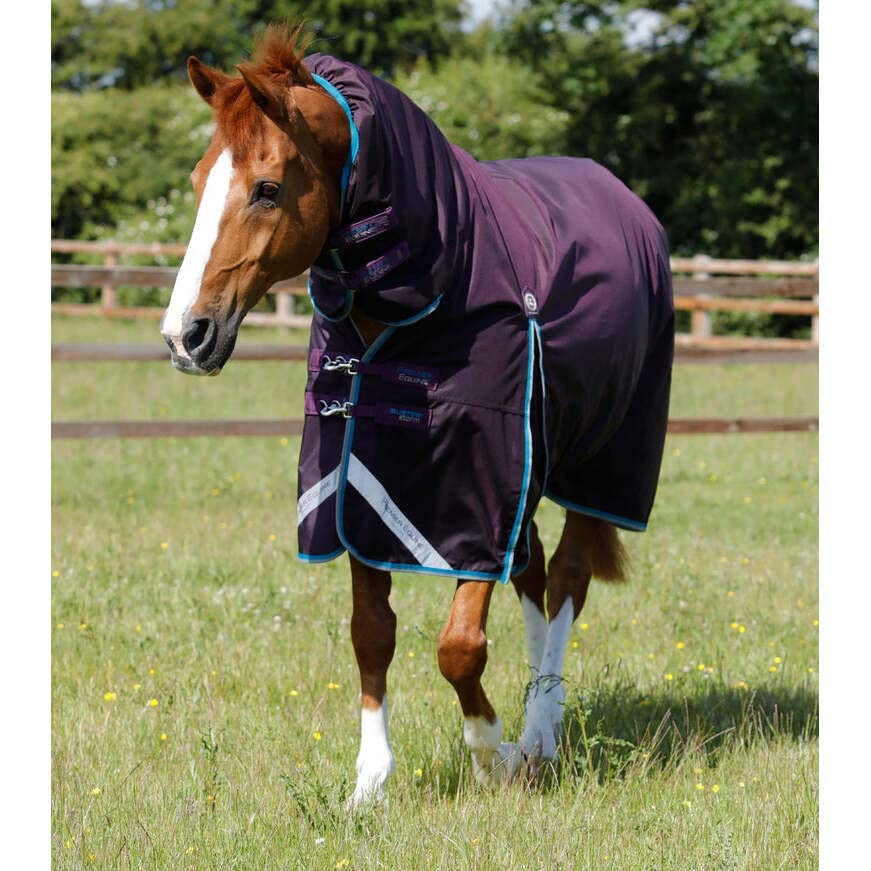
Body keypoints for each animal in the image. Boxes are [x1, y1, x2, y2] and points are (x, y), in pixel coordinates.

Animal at [160, 24, 674, 808]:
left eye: (268, 189)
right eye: (197, 184)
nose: (185, 335)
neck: (439, 284)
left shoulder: (480, 493)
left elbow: (459, 647)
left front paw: (490, 753)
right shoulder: (359, 486)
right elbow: (371, 633)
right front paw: (369, 783)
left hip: (599, 468)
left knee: (565, 583)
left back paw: (539, 736)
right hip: (533, 475)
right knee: (533, 577)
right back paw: (536, 718)